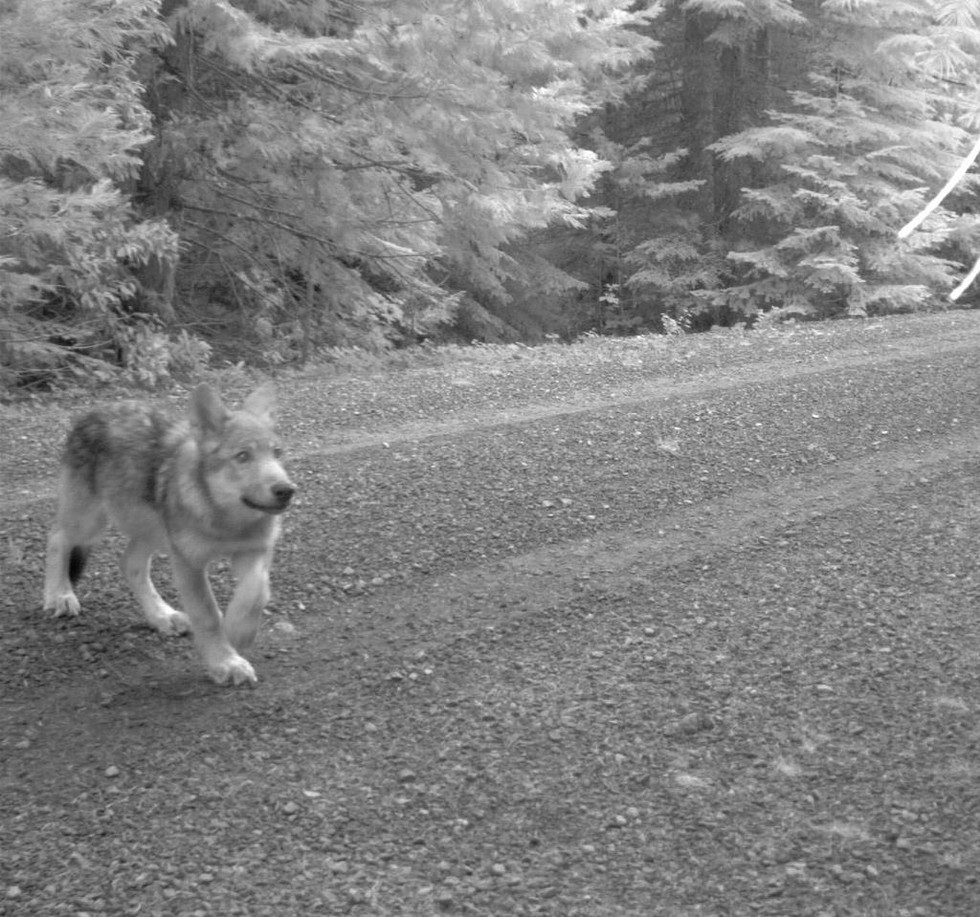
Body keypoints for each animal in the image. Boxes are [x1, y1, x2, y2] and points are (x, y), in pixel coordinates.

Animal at [43, 383, 296, 686]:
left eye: (277, 453)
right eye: (243, 456)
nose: (286, 490)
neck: (226, 521)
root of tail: (95, 410)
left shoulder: (255, 550)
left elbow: (258, 591)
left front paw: (239, 629)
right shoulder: (188, 562)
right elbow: (207, 615)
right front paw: (226, 662)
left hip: (153, 532)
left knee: (130, 564)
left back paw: (162, 615)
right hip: (90, 523)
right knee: (57, 538)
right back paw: (59, 595)